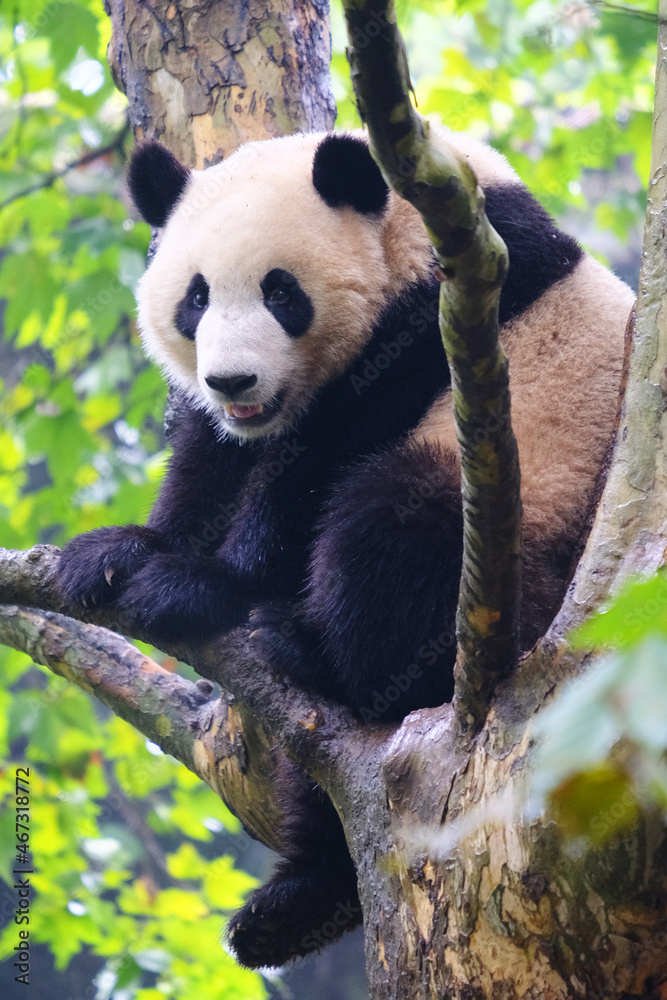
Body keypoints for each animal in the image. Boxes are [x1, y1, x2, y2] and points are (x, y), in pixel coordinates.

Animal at [58, 129, 634, 968]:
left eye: (280, 293)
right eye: (195, 298)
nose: (233, 380)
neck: (408, 230)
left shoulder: (442, 325)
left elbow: (318, 462)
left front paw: (194, 582)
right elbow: (210, 461)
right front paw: (115, 553)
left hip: (535, 518)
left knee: (395, 530)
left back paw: (312, 651)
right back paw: (293, 907)